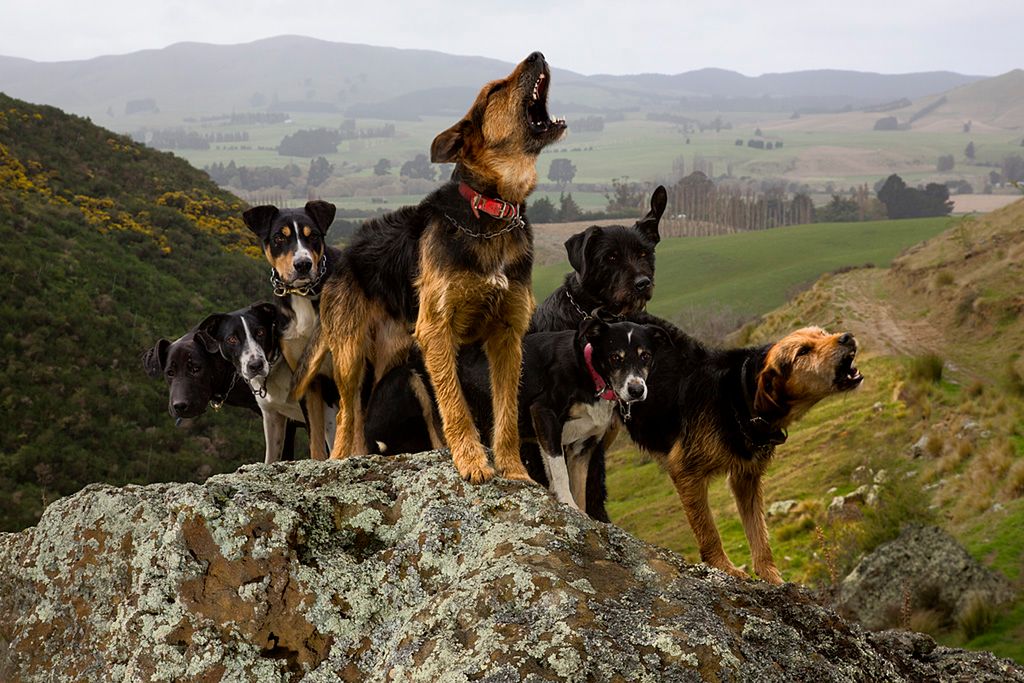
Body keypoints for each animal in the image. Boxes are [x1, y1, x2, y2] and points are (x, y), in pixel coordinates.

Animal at [243, 200, 344, 462]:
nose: (303, 265)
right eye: (279, 237)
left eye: (313, 236)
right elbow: (315, 437)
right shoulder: (307, 375)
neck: (305, 296)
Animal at [290, 50, 569, 483]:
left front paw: (513, 469)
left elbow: (505, 412)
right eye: (495, 90)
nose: (537, 54)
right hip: (351, 354)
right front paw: (471, 461)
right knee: (348, 419)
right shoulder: (437, 329)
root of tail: (342, 258)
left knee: (365, 421)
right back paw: (338, 462)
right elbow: (454, 404)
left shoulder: (507, 334)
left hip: (395, 358)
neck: (490, 212)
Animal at [622, 323, 864, 585]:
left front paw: (772, 578)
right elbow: (708, 530)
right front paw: (724, 568)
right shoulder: (685, 470)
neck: (739, 395)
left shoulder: (746, 478)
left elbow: (759, 533)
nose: (847, 337)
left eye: (822, 333)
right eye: (802, 352)